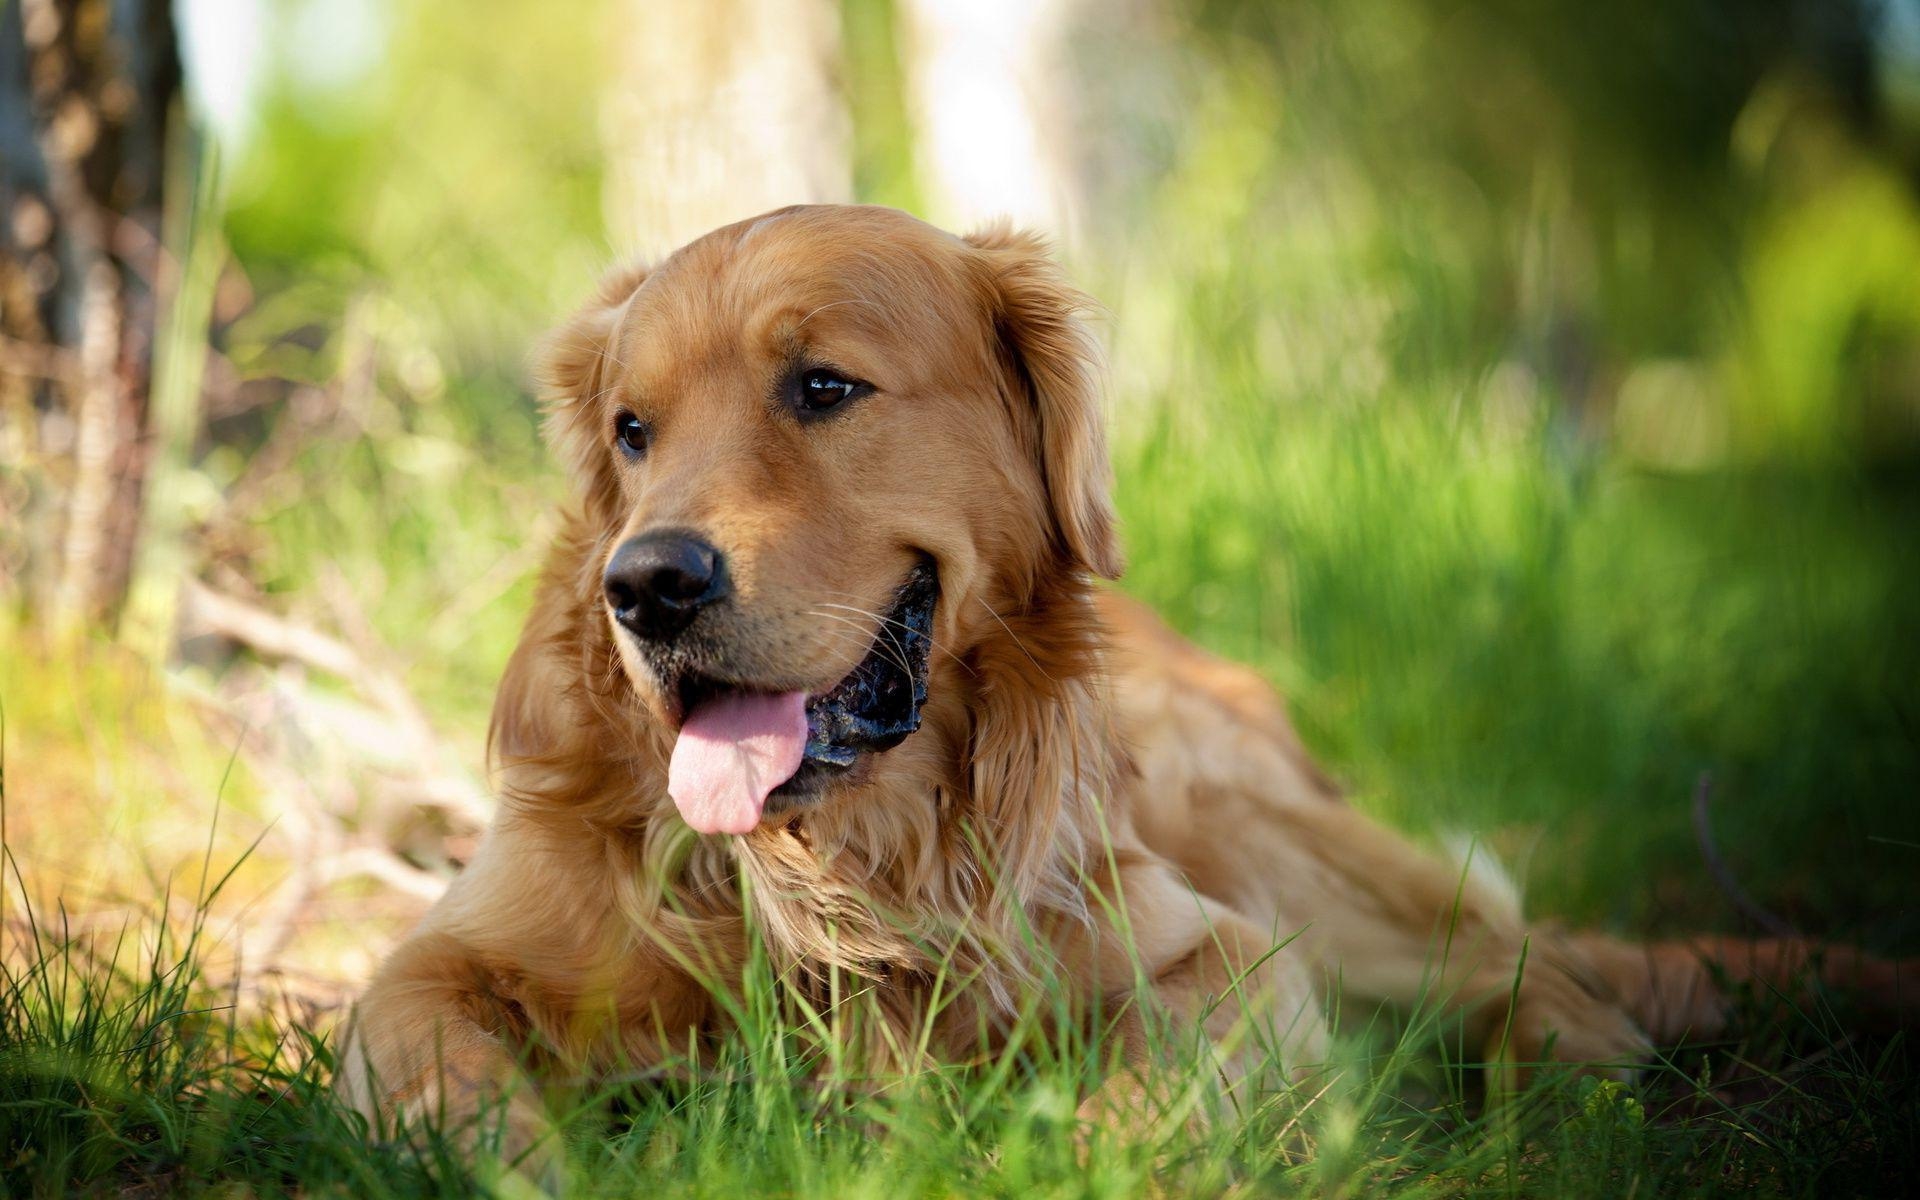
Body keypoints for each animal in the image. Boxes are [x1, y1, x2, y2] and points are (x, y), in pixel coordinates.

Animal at [337, 201, 1912, 1159]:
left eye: (824, 388)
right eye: (633, 429)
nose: (646, 586)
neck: (839, 868)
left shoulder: (1222, 952)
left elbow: (1148, 1091)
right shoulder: (433, 961)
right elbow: (435, 1060)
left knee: (1524, 973)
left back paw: (1569, 1075)